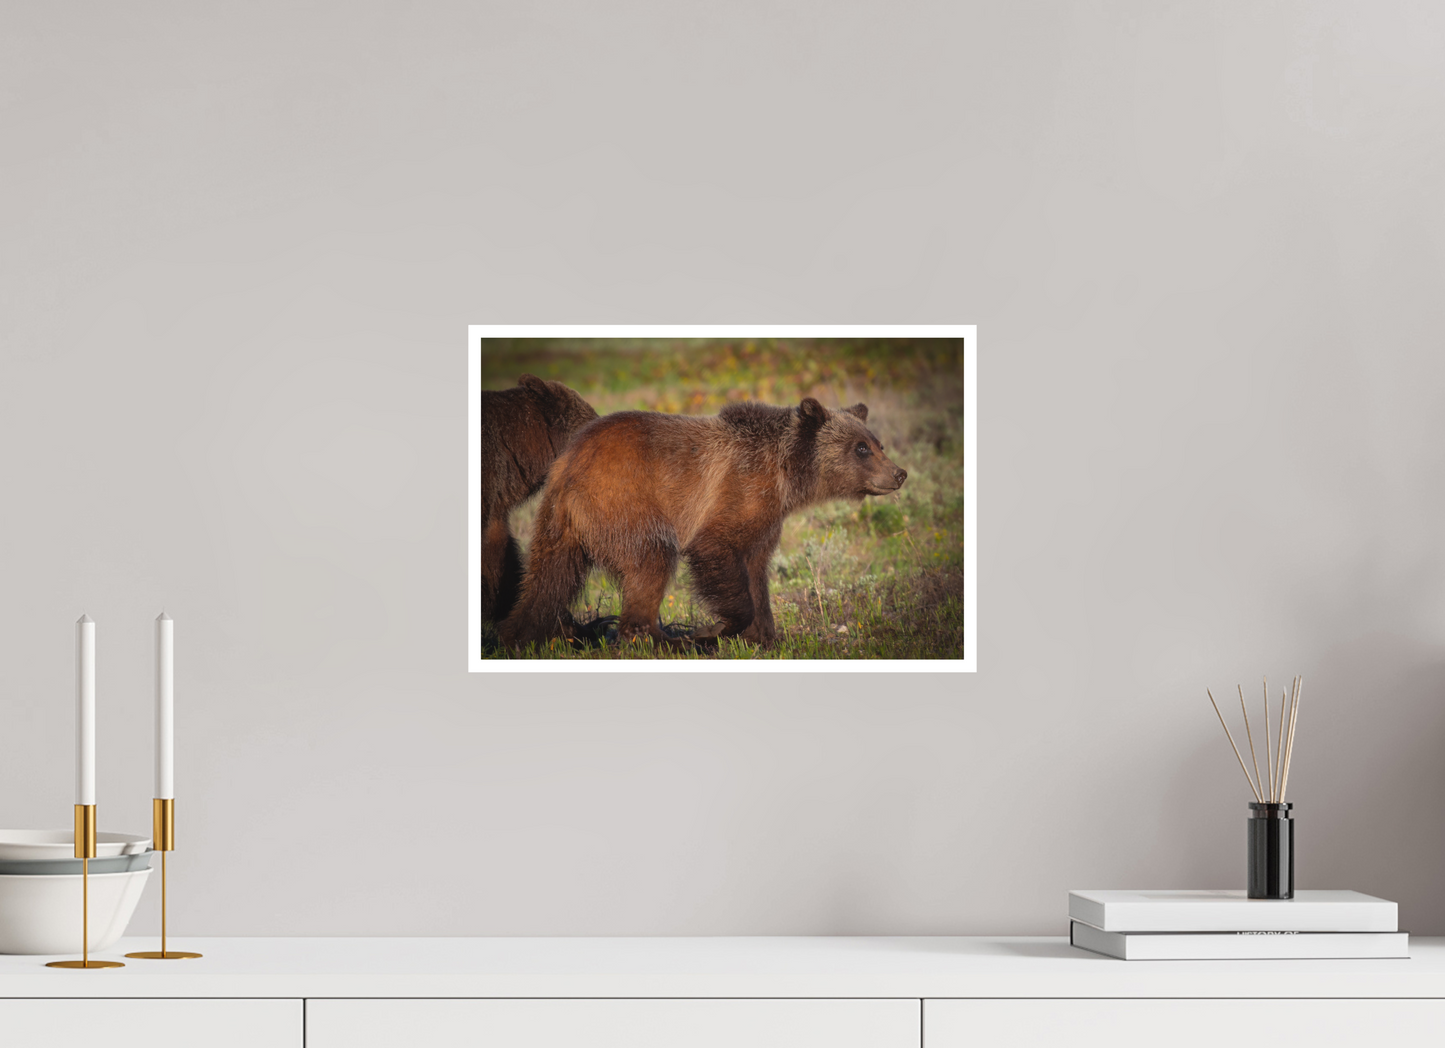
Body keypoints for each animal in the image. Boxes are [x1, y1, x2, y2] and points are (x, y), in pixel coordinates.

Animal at [498, 397, 907, 649]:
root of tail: (566, 463)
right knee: (651, 559)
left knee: (549, 579)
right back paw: (665, 640)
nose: (899, 473)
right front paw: (718, 629)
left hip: (561, 525)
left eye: (878, 443)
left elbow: (757, 571)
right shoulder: (736, 490)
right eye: (861, 448)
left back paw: (518, 634)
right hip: (624, 502)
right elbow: (716, 550)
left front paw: (768, 636)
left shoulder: (765, 520)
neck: (784, 474)